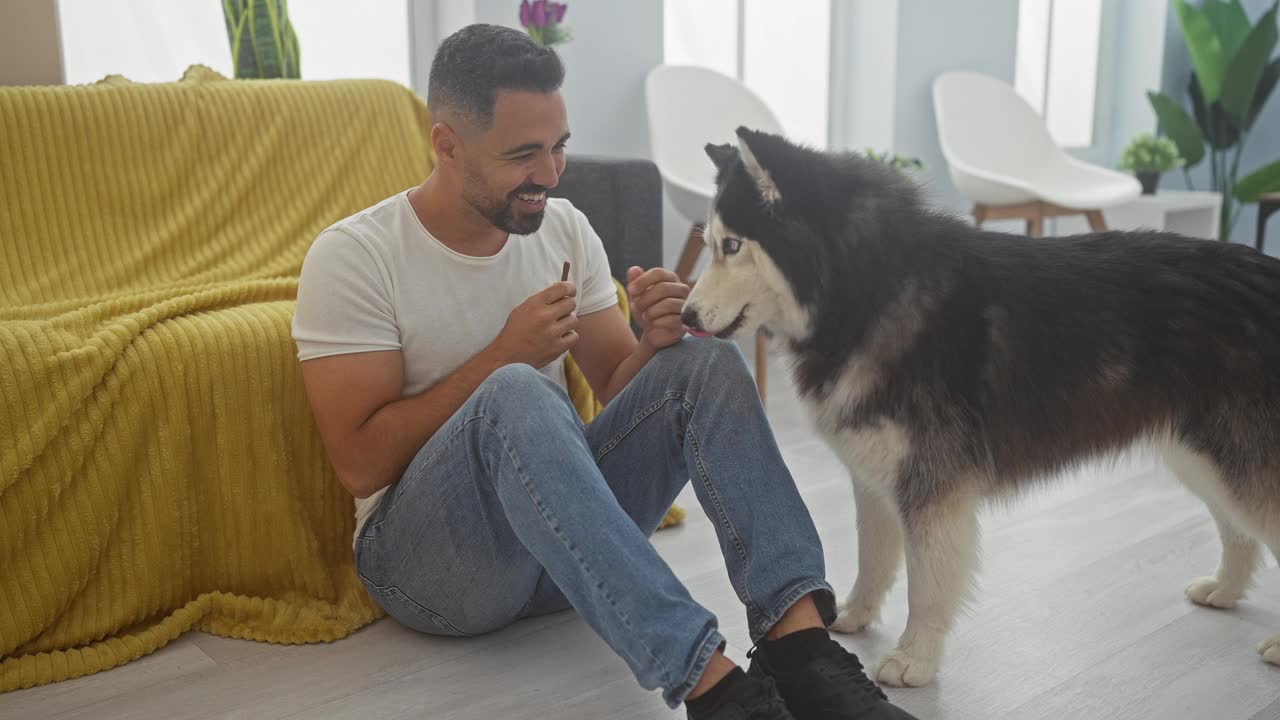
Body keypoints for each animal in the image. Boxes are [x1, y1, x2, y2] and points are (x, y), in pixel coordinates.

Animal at [686, 126, 1280, 686]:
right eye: (710, 244)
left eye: (732, 246)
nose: (686, 315)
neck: (867, 289)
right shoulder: (875, 475)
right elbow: (872, 556)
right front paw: (855, 615)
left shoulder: (932, 483)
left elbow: (926, 585)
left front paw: (915, 659)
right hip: (1205, 458)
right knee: (1239, 531)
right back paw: (1226, 588)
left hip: (1234, 461)